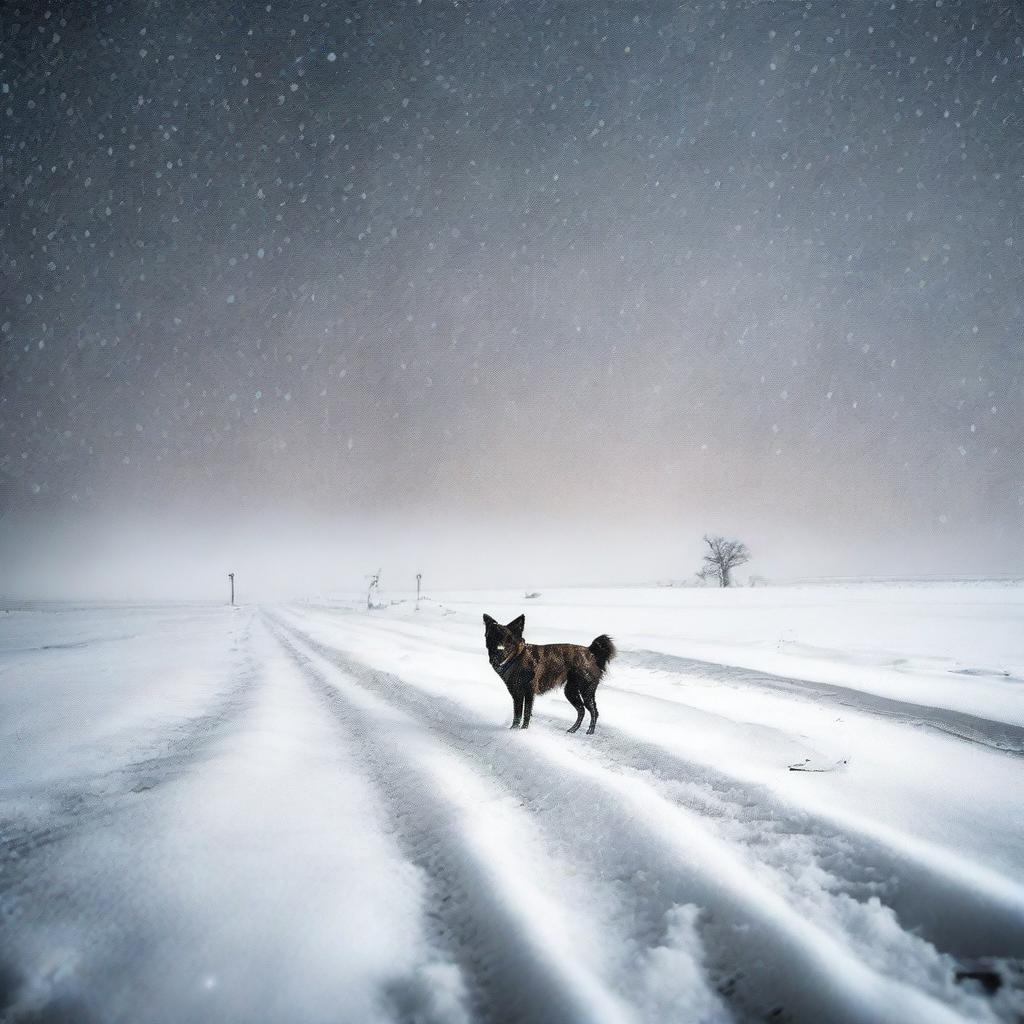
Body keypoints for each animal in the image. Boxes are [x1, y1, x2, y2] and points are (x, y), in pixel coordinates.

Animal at [481, 610, 614, 733]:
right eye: (492, 638)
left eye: (508, 640)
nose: (498, 652)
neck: (517, 658)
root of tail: (590, 652)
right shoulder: (516, 693)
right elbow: (517, 714)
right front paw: (514, 730)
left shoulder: (529, 692)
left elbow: (526, 713)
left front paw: (523, 731)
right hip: (570, 691)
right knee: (581, 710)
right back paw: (573, 729)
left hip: (585, 691)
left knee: (593, 711)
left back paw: (590, 731)